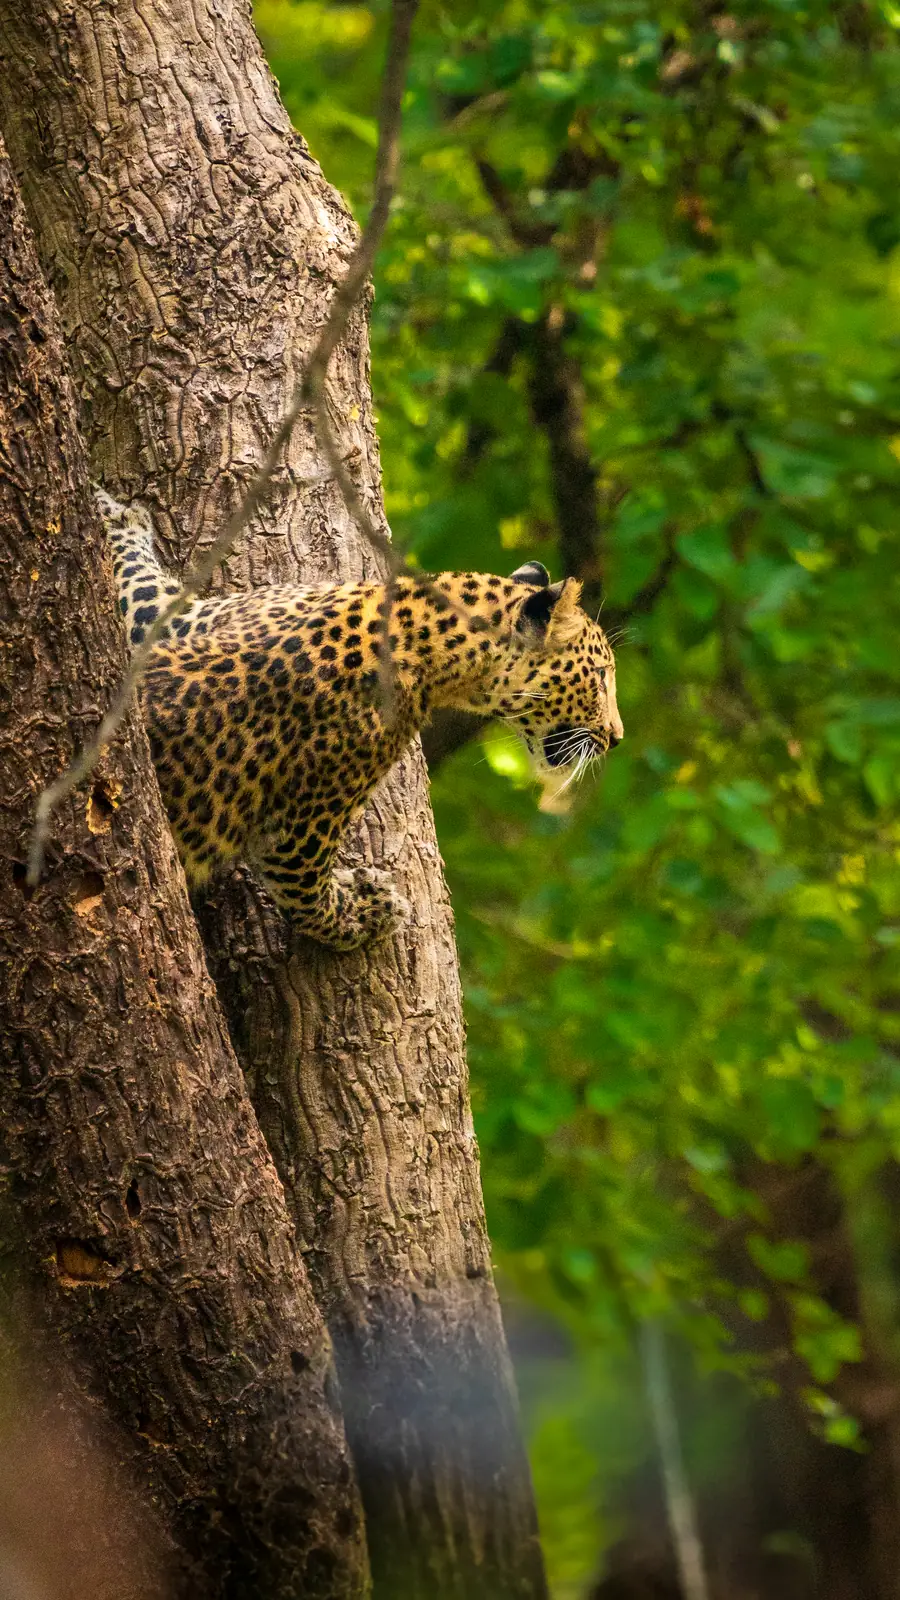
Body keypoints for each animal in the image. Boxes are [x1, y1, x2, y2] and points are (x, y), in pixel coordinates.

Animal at [98, 490, 624, 950]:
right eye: (601, 676)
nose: (616, 737)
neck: (422, 628)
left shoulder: (186, 620)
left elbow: (143, 592)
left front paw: (109, 513)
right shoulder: (299, 837)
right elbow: (309, 898)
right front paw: (369, 912)